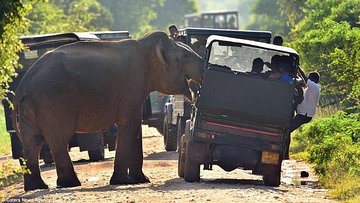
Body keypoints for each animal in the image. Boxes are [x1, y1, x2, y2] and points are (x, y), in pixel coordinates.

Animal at [12, 30, 204, 190]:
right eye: (186, 55)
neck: (144, 45)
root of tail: (23, 86)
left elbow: (134, 127)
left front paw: (141, 180)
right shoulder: (131, 85)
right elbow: (129, 124)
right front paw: (124, 181)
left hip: (30, 110)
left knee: (32, 143)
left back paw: (37, 187)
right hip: (53, 104)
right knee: (58, 140)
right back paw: (70, 184)